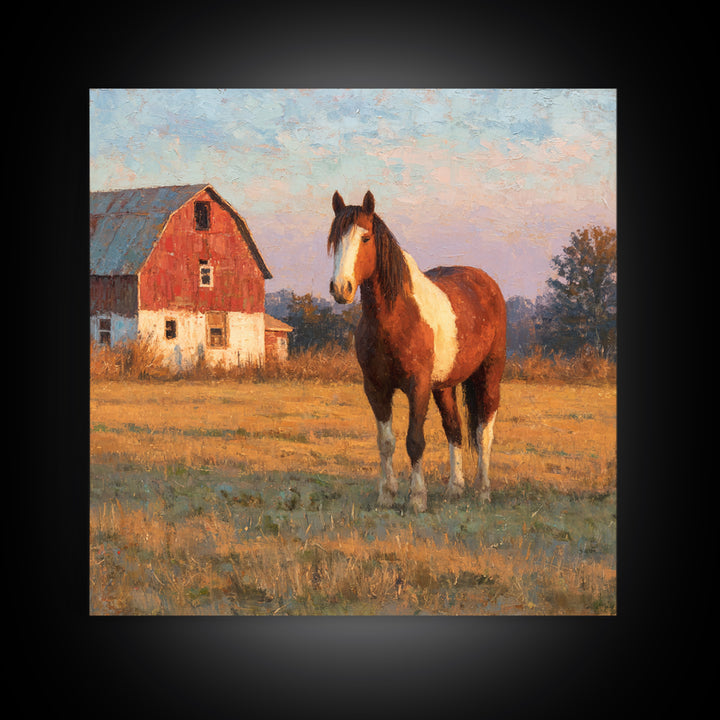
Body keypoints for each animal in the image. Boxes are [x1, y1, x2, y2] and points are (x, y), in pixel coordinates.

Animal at [327, 190, 506, 513]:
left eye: (365, 238)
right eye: (335, 239)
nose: (340, 288)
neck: (396, 316)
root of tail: (487, 283)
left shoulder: (418, 386)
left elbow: (415, 441)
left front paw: (417, 498)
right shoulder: (375, 387)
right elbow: (386, 441)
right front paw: (387, 494)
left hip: (489, 376)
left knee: (483, 433)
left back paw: (482, 491)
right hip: (444, 387)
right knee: (455, 429)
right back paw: (455, 488)